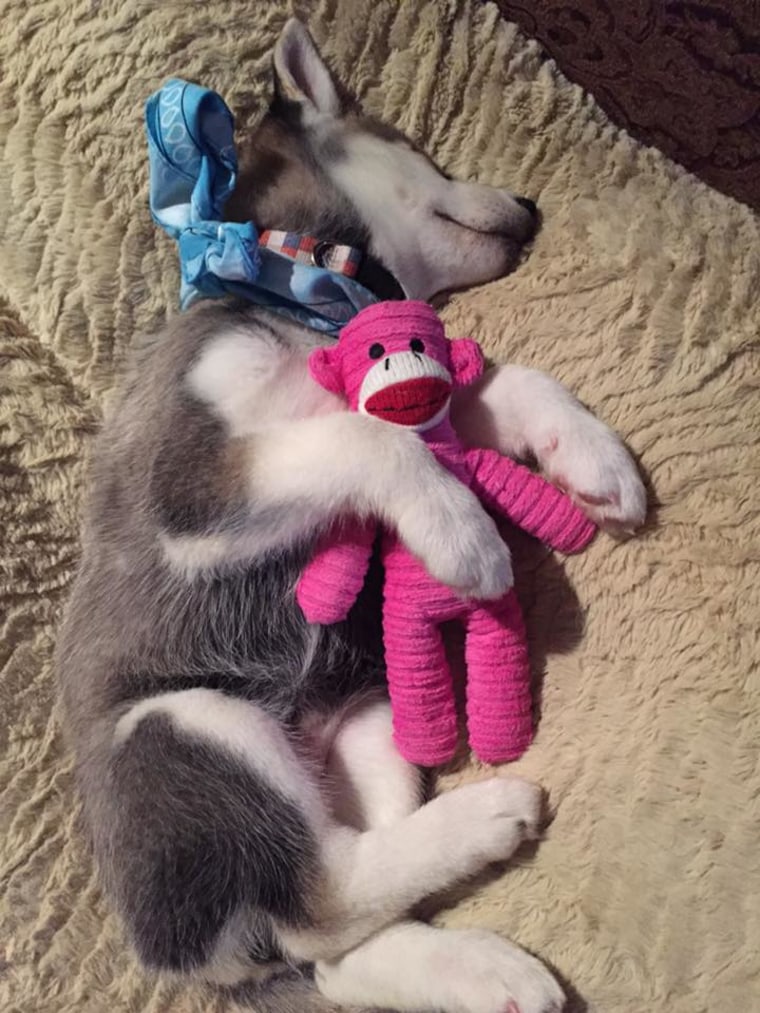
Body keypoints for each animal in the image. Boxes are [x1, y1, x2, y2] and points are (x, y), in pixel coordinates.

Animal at [293, 303, 599, 761]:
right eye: (375, 349)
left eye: (420, 343)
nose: (406, 371)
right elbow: (376, 445)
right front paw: (468, 543)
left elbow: (518, 385)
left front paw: (597, 467)